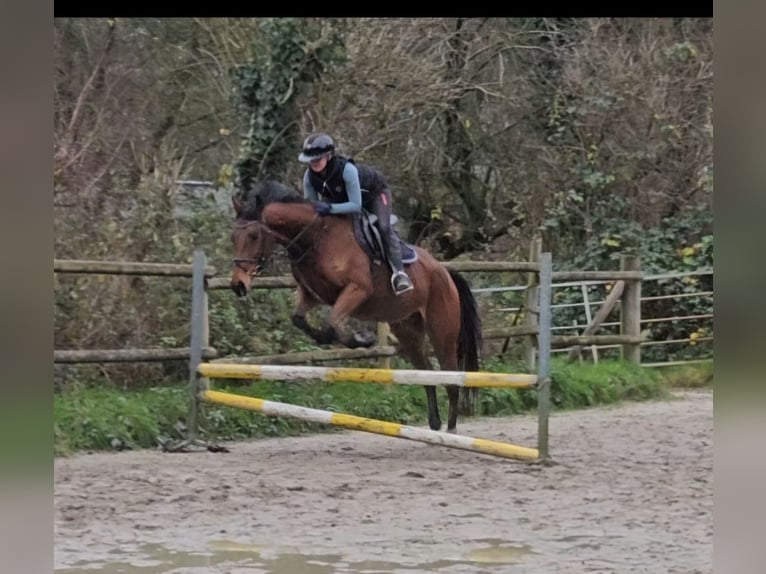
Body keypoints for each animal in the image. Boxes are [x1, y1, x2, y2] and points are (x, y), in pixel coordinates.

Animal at [228, 182, 484, 434]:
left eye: (253, 236)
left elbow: (333, 321)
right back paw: (434, 424)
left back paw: (451, 429)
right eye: (233, 238)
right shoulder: (312, 294)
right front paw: (339, 338)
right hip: (407, 330)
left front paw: (362, 339)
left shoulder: (357, 289)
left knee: (451, 377)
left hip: (442, 332)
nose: (238, 285)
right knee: (427, 373)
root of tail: (444, 271)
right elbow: (300, 319)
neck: (315, 237)